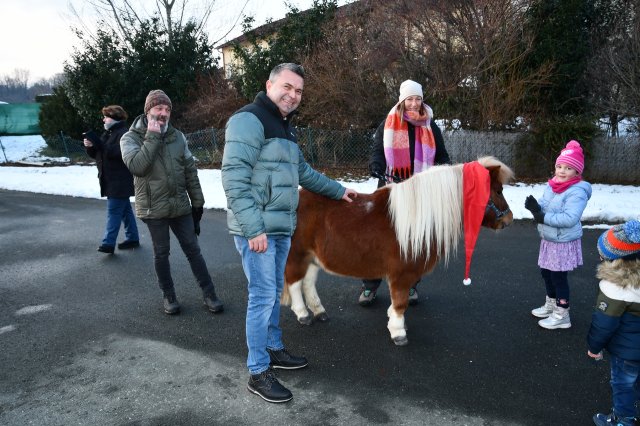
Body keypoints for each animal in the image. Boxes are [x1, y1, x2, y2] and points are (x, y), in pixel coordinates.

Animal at [282, 156, 512, 346]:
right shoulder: (401, 274)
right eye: (498, 190)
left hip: (313, 258)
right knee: (295, 284)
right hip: (297, 255)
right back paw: (303, 314)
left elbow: (399, 303)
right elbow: (401, 303)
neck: (419, 219)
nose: (508, 220)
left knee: (308, 283)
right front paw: (398, 331)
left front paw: (394, 320)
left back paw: (319, 311)